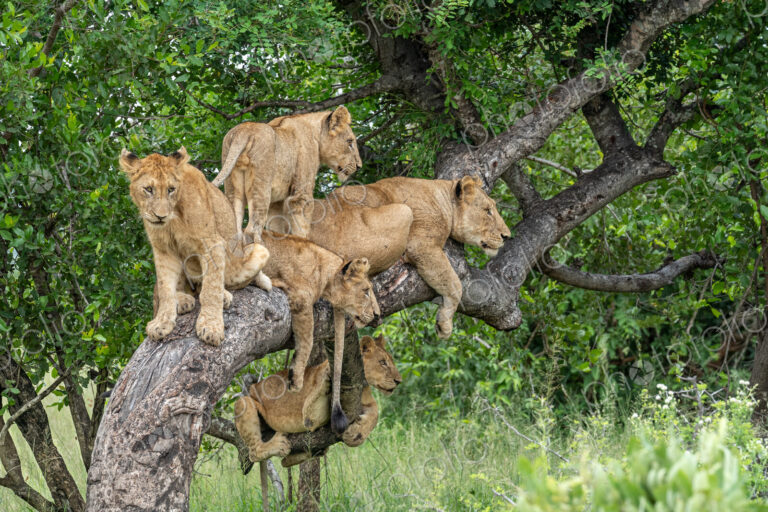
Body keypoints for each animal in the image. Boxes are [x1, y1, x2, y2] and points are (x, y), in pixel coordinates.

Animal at [119, 147, 272, 346]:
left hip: (257, 251)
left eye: (171, 189)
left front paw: (211, 327)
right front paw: (161, 323)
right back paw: (183, 300)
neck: (173, 217)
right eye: (149, 189)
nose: (160, 216)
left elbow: (211, 288)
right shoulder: (163, 250)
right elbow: (165, 287)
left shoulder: (212, 243)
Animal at [212, 106, 362, 241]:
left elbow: (277, 228)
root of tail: (244, 130)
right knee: (252, 229)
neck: (316, 135)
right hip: (261, 187)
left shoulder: (276, 202)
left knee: (235, 230)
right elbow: (302, 228)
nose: (359, 166)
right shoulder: (301, 193)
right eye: (350, 141)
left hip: (233, 187)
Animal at [233, 334, 401, 466]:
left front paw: (355, 435)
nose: (399, 381)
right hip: (244, 402)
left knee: (284, 462)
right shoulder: (311, 416)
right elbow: (314, 407)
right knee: (254, 452)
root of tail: (254, 385)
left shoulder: (367, 402)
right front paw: (328, 374)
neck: (362, 385)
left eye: (390, 361)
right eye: (382, 362)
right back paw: (278, 444)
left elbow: (375, 414)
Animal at [290, 176, 511, 338]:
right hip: (402, 211)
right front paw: (445, 325)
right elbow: (455, 284)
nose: (506, 236)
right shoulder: (421, 245)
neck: (442, 197)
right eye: (488, 211)